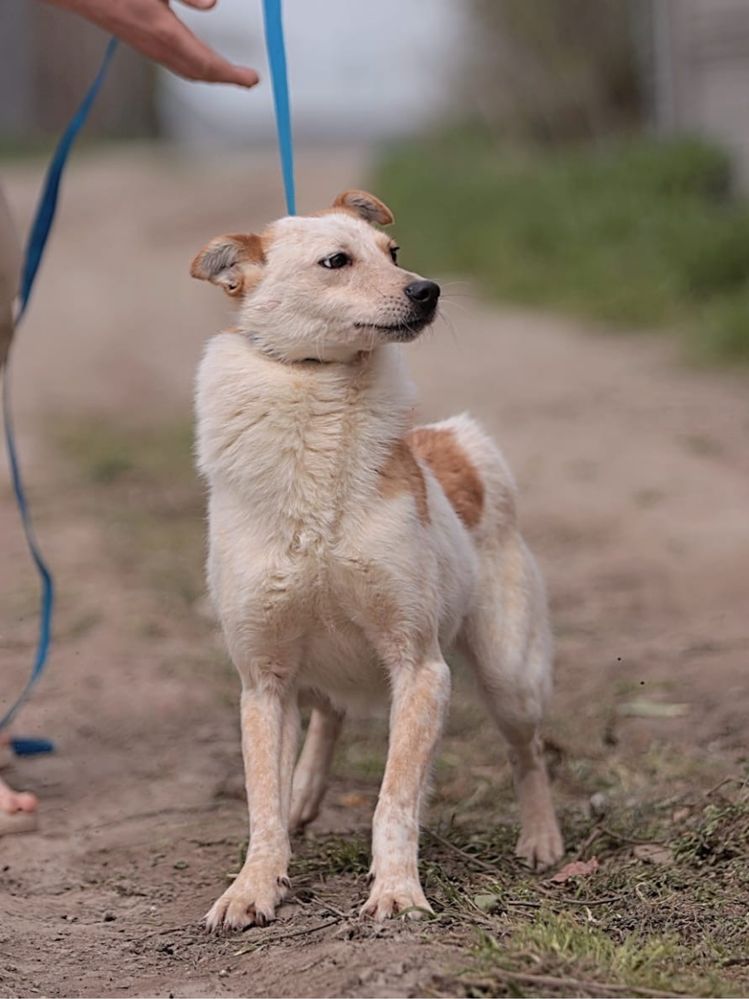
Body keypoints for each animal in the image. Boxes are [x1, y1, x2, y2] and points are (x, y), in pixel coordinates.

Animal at [188, 189, 560, 928]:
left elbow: (393, 800)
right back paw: (304, 795)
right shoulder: (263, 680)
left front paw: (396, 890)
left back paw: (540, 838)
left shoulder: (419, 667)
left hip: (510, 676)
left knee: (526, 751)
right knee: (326, 716)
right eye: (337, 260)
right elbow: (262, 802)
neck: (318, 391)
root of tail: (448, 442)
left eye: (393, 252)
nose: (428, 289)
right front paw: (253, 886)